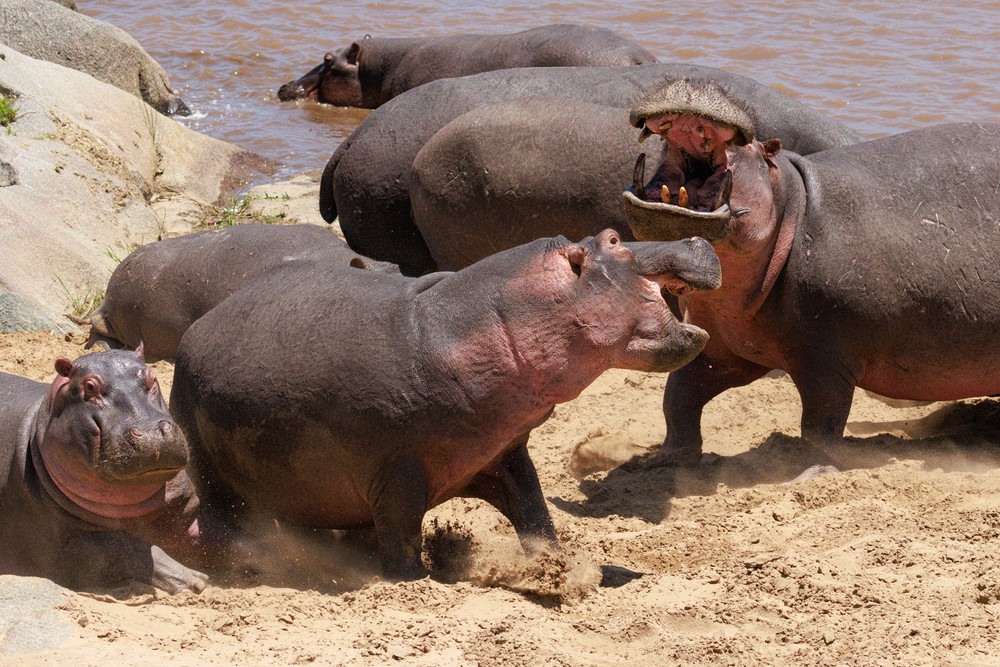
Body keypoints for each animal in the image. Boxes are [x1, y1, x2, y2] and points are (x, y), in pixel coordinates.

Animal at [0, 348, 206, 593]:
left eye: (151, 377)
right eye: (89, 387)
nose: (150, 433)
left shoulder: (185, 509)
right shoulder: (69, 547)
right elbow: (129, 548)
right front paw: (196, 579)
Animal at [169, 230, 721, 579]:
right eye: (612, 240)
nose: (697, 238)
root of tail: (193, 334)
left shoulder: (503, 453)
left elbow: (535, 513)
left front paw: (552, 568)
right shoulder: (396, 470)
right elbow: (401, 538)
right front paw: (412, 580)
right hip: (207, 461)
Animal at [621, 81, 1000, 465]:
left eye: (755, 147)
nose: (694, 82)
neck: (789, 203)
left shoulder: (826, 357)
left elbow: (821, 423)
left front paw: (817, 468)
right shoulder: (718, 346)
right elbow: (678, 401)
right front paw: (663, 460)